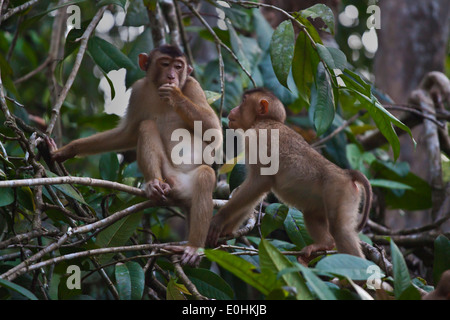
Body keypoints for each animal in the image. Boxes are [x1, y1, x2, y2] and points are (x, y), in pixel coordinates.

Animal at [207, 88, 372, 260]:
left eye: (244, 101)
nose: (233, 109)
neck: (266, 121)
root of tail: (346, 174)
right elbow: (257, 193)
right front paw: (226, 231)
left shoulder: (256, 137)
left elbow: (260, 182)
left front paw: (219, 220)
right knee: (312, 214)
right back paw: (324, 244)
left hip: (338, 190)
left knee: (340, 230)